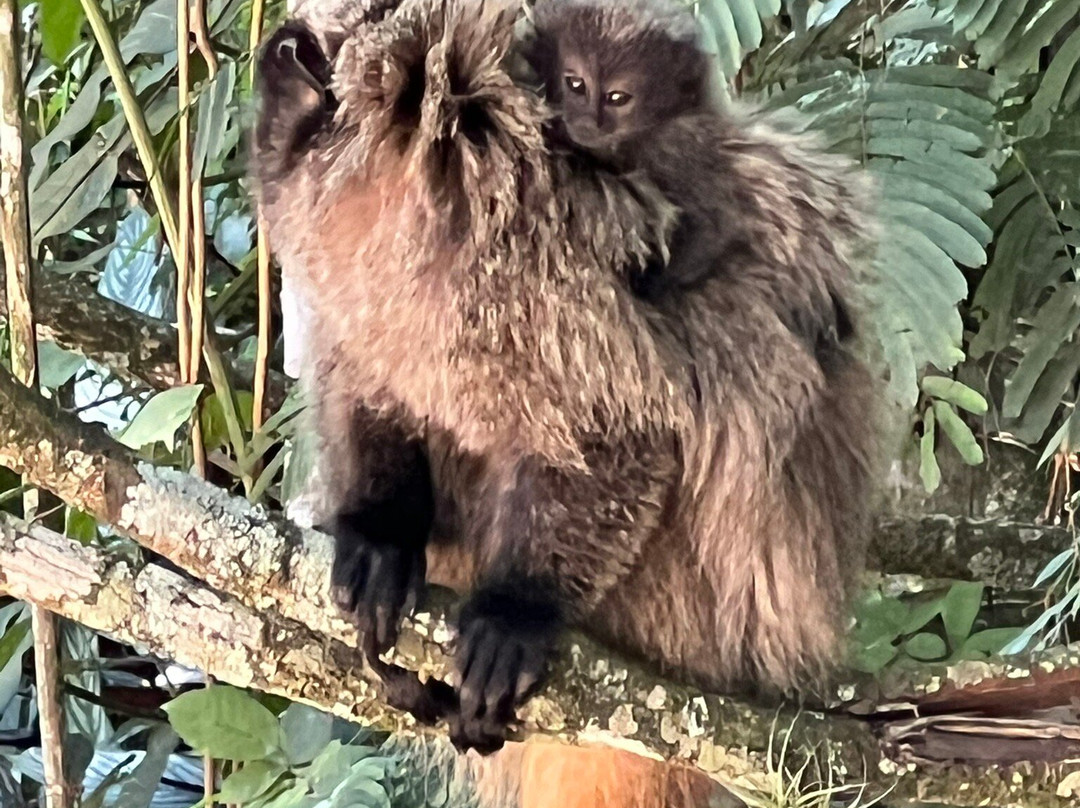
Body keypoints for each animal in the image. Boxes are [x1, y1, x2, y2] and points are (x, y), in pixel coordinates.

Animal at [252, 0, 876, 754]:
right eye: (574, 85)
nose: (278, 55)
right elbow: (369, 383)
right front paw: (381, 535)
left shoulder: (534, 257)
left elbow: (628, 429)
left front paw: (519, 610)